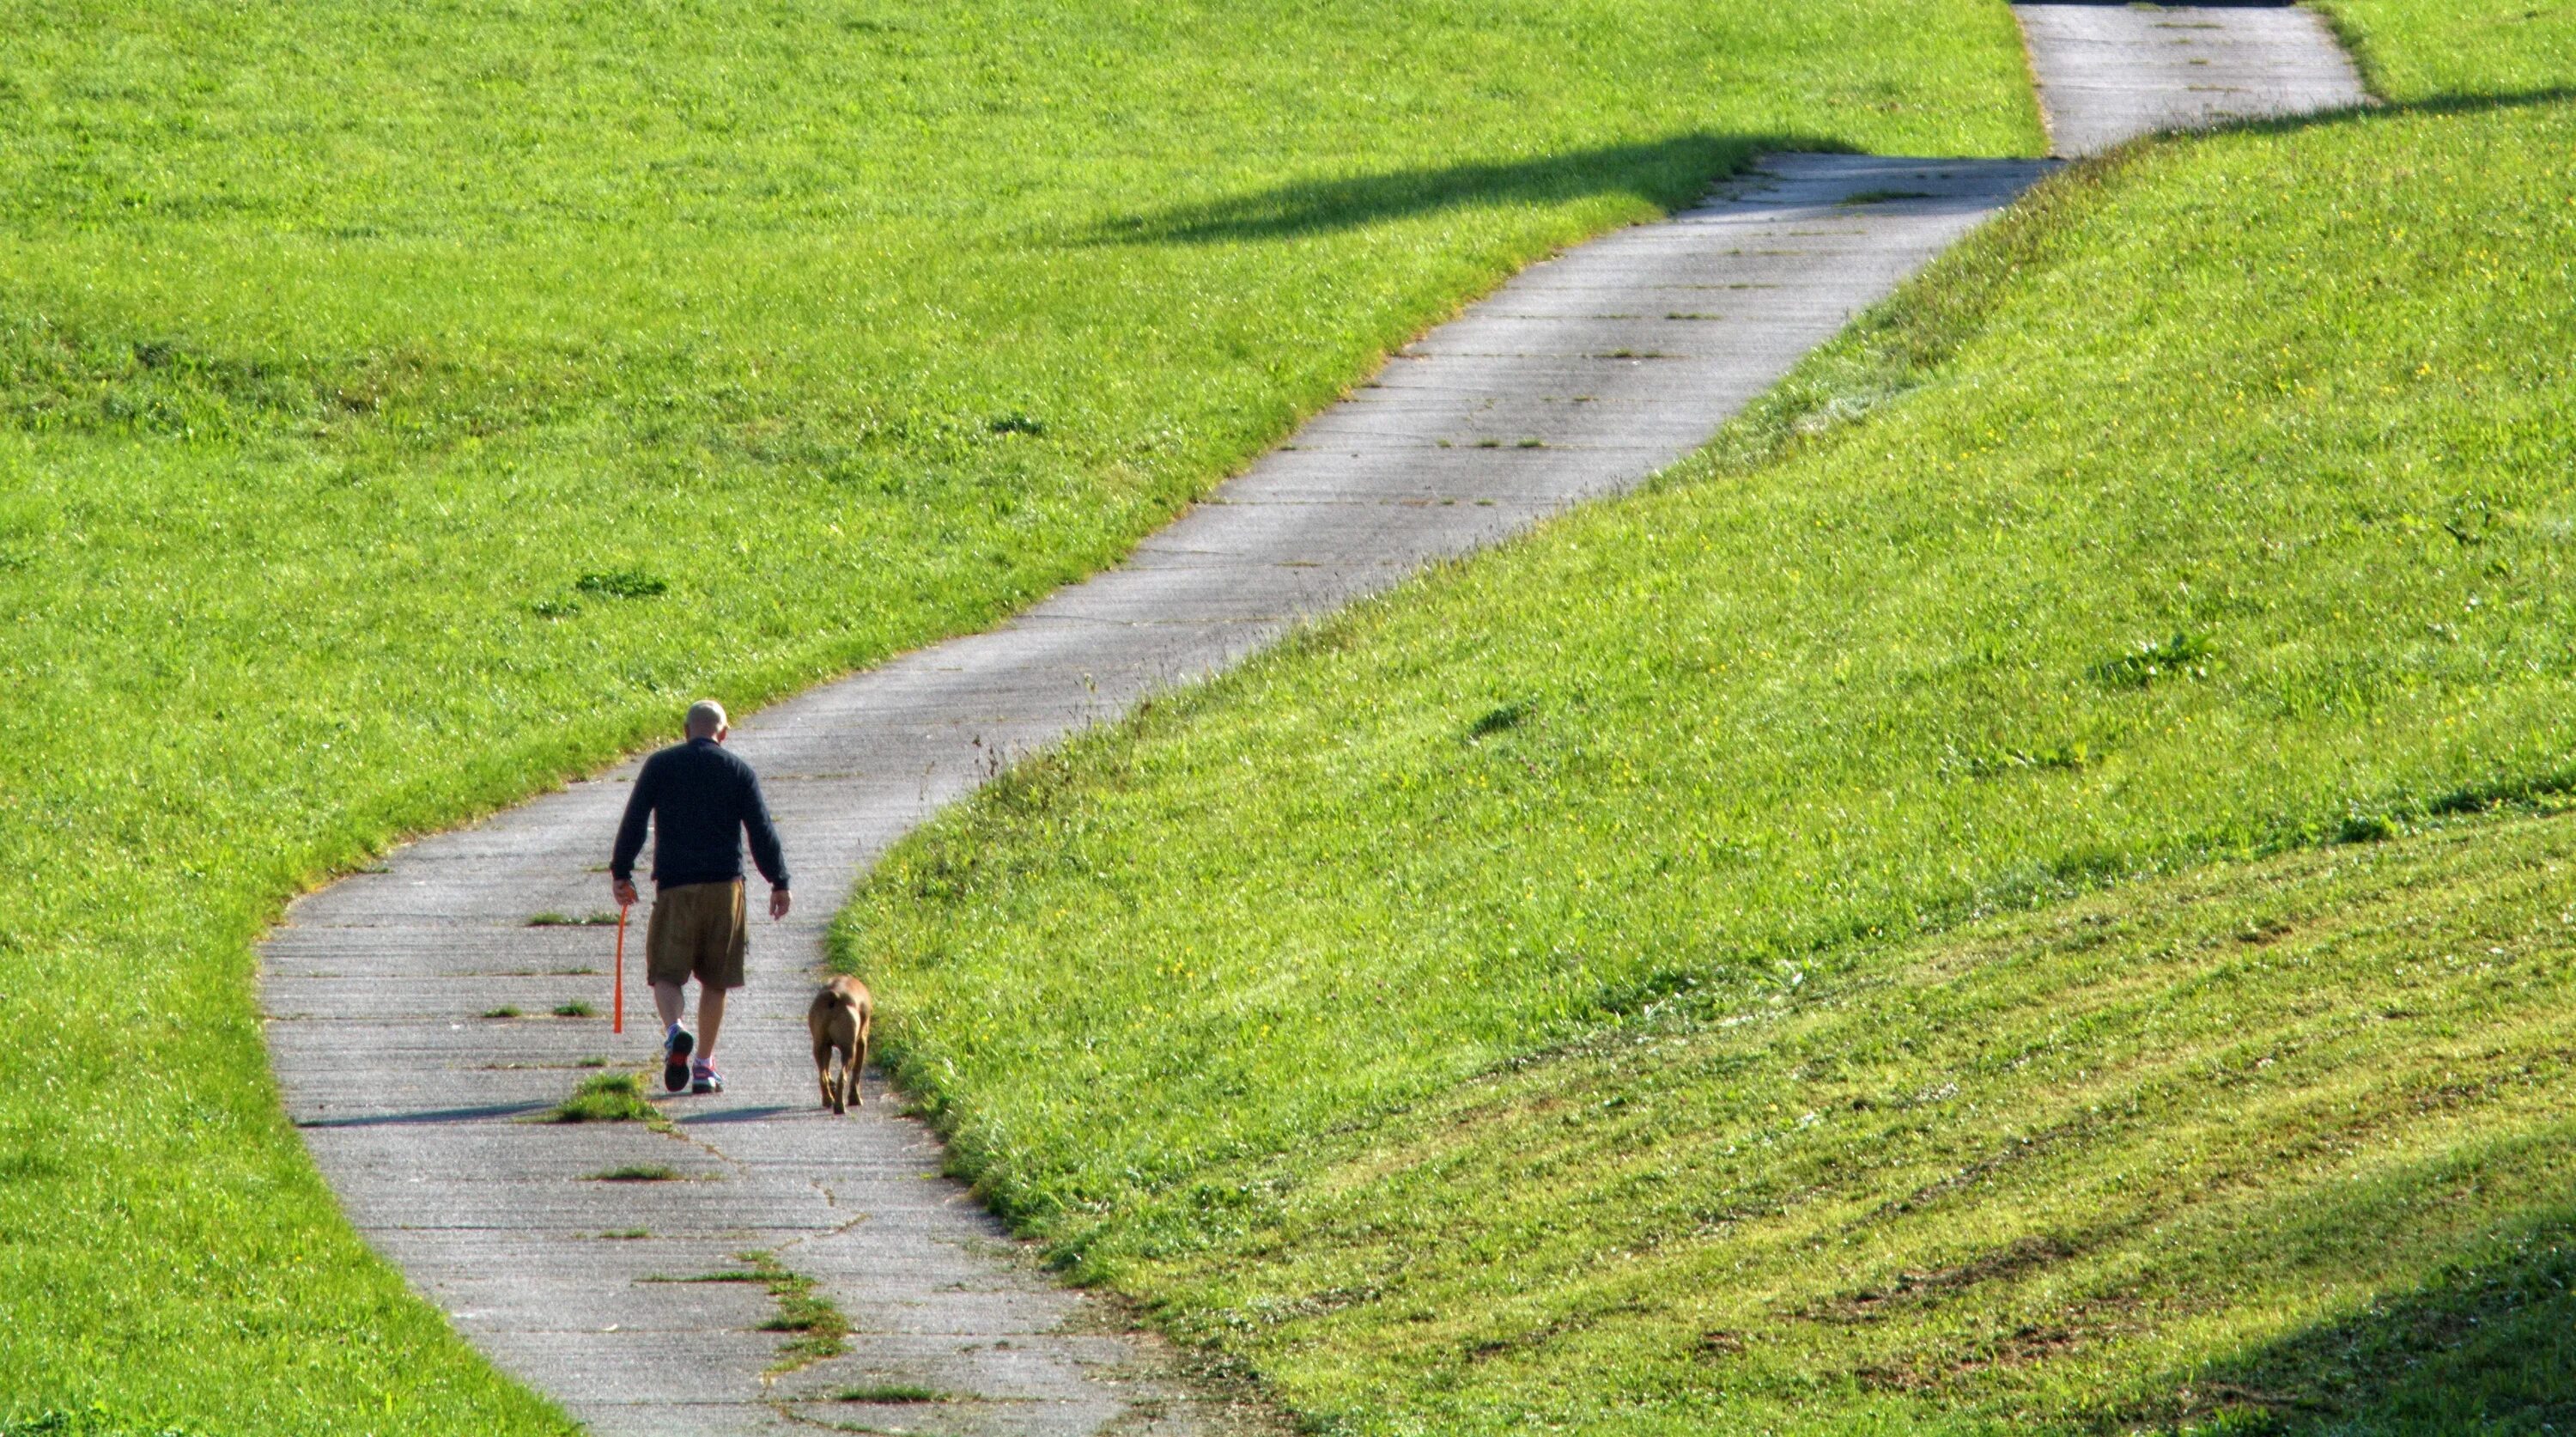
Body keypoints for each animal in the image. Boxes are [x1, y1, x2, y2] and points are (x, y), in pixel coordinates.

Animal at [804, 973, 876, 1123]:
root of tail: (834, 996)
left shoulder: (827, 1047)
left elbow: (827, 1071)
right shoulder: (862, 1042)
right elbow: (857, 1074)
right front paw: (855, 1099)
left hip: (819, 1047)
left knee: (822, 1077)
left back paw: (828, 1100)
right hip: (849, 1051)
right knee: (842, 1078)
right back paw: (839, 1107)